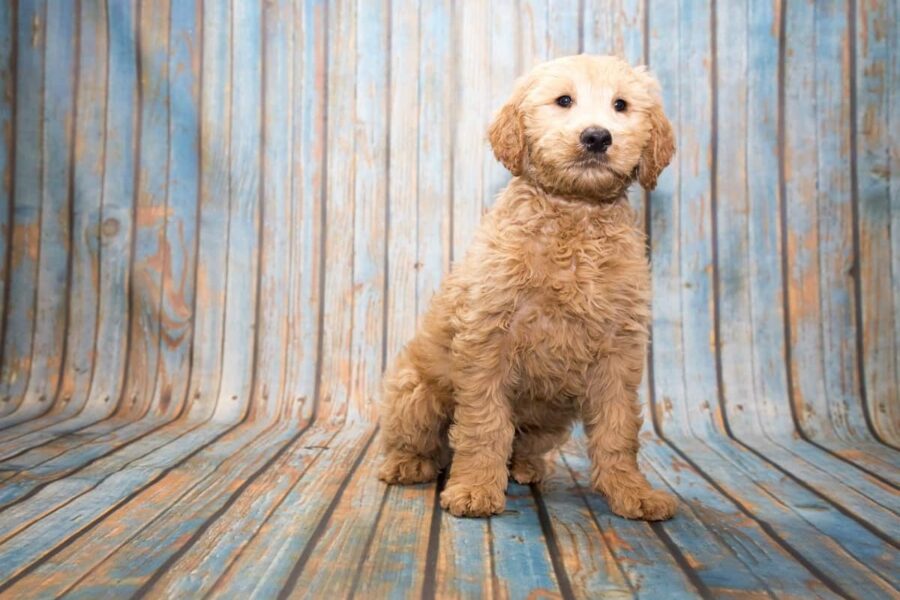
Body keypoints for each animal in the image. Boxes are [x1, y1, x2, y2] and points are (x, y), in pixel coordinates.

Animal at [378, 54, 676, 516]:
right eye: (564, 100)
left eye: (621, 105)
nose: (596, 136)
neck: (574, 215)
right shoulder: (486, 341)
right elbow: (484, 426)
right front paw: (475, 488)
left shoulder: (618, 350)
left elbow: (618, 430)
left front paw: (632, 492)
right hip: (415, 395)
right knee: (423, 441)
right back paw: (409, 464)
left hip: (551, 416)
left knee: (523, 443)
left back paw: (526, 467)